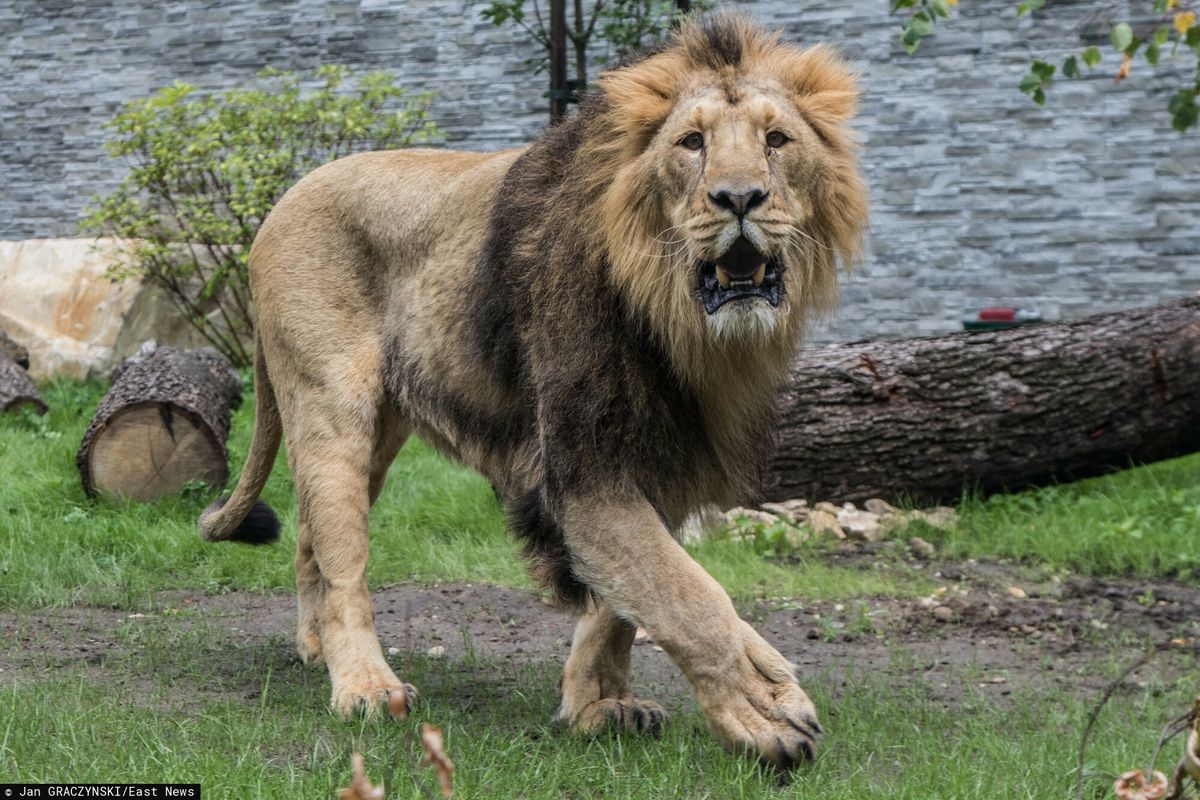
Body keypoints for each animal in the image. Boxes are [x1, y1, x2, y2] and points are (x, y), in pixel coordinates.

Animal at [201, 15, 868, 767]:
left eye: (776, 140)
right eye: (691, 143)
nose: (739, 198)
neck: (680, 322)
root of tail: (279, 203)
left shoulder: (655, 454)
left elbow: (628, 599)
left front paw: (597, 705)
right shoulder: (579, 460)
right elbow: (686, 595)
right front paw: (765, 707)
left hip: (378, 432)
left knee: (311, 539)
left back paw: (317, 650)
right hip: (328, 406)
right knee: (343, 557)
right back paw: (366, 687)